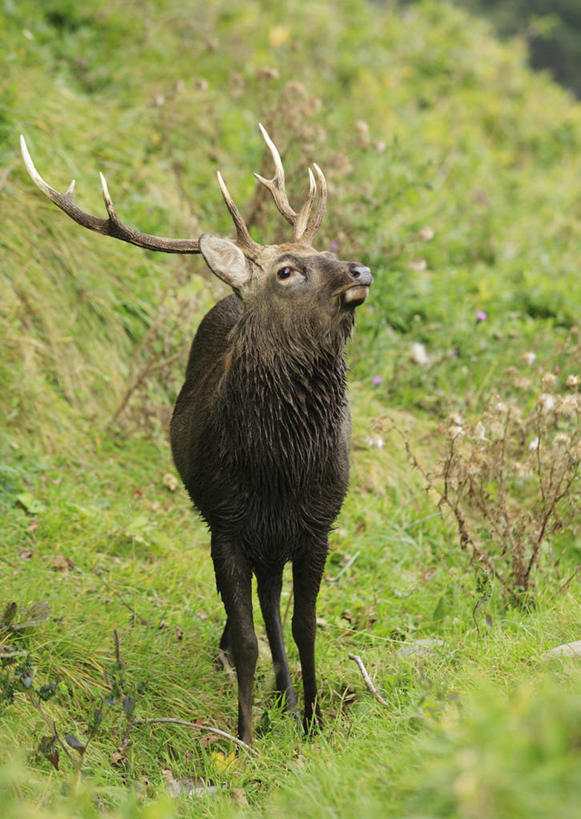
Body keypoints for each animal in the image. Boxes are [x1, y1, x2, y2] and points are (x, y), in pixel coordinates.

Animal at [21, 125, 372, 748]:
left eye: (327, 253)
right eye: (287, 271)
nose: (358, 271)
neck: (277, 470)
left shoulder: (319, 523)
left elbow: (305, 627)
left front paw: (311, 721)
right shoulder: (226, 523)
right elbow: (251, 635)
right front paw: (246, 737)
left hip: (276, 539)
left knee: (272, 600)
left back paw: (286, 697)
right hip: (238, 529)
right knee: (257, 606)